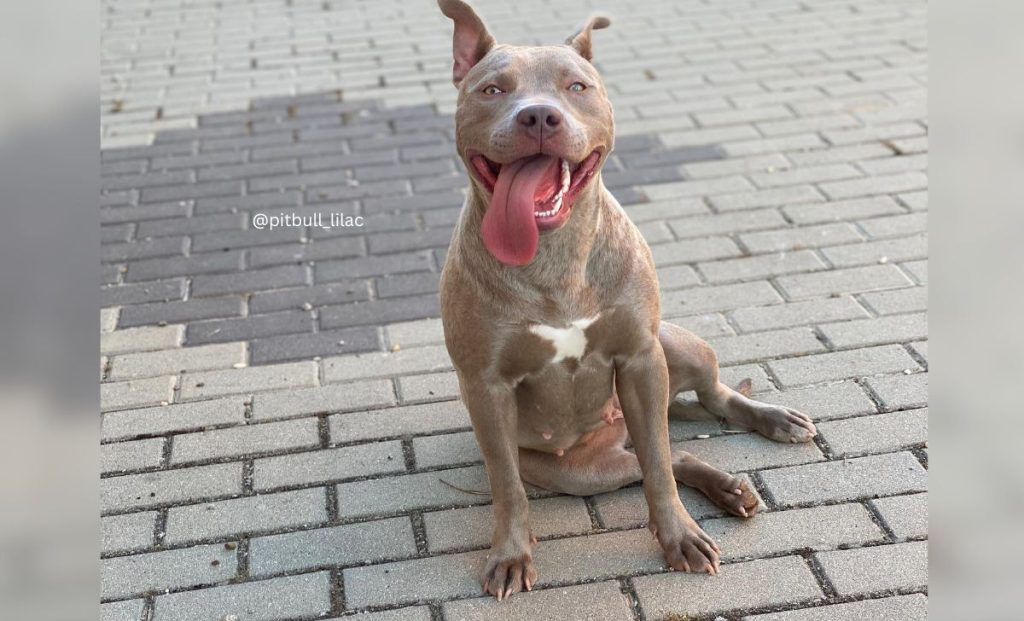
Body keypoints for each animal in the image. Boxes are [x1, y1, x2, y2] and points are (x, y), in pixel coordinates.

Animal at [434, 0, 815, 602]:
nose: (537, 117)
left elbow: (658, 466)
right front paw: (511, 555)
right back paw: (726, 488)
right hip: (580, 468)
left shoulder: (640, 358)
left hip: (677, 348)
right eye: (492, 89)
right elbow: (507, 486)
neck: (554, 257)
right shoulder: (485, 388)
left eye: (576, 86)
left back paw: (771, 424)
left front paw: (679, 537)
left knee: (705, 407)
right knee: (673, 452)